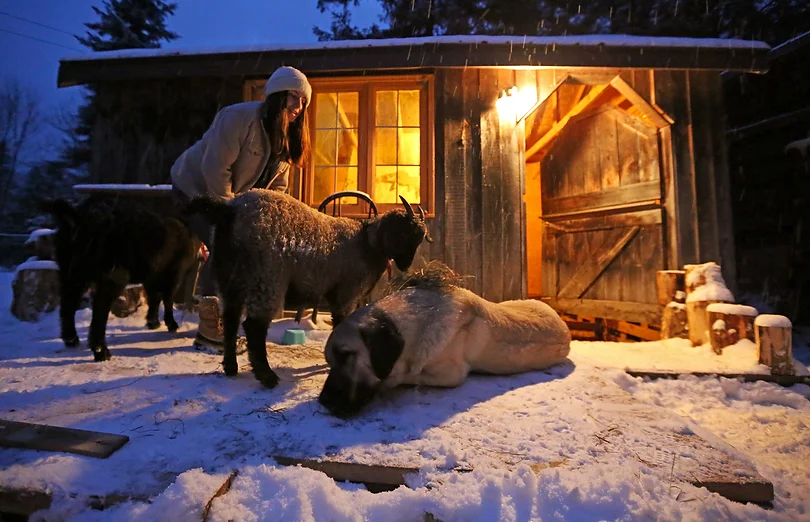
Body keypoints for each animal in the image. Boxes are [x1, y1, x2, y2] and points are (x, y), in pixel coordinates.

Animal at [41, 195, 201, 362]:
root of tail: (79, 219)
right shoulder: (174, 271)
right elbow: (167, 298)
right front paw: (172, 325)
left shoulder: (152, 275)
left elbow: (154, 297)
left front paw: (153, 323)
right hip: (110, 275)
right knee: (99, 308)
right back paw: (102, 353)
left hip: (70, 272)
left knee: (67, 303)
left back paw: (71, 340)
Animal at [185, 187, 430, 386]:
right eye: (404, 234)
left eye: (419, 239)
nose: (406, 265)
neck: (366, 243)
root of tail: (230, 210)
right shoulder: (346, 292)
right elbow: (341, 322)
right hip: (266, 276)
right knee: (254, 326)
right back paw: (267, 376)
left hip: (230, 277)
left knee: (230, 320)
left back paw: (231, 367)